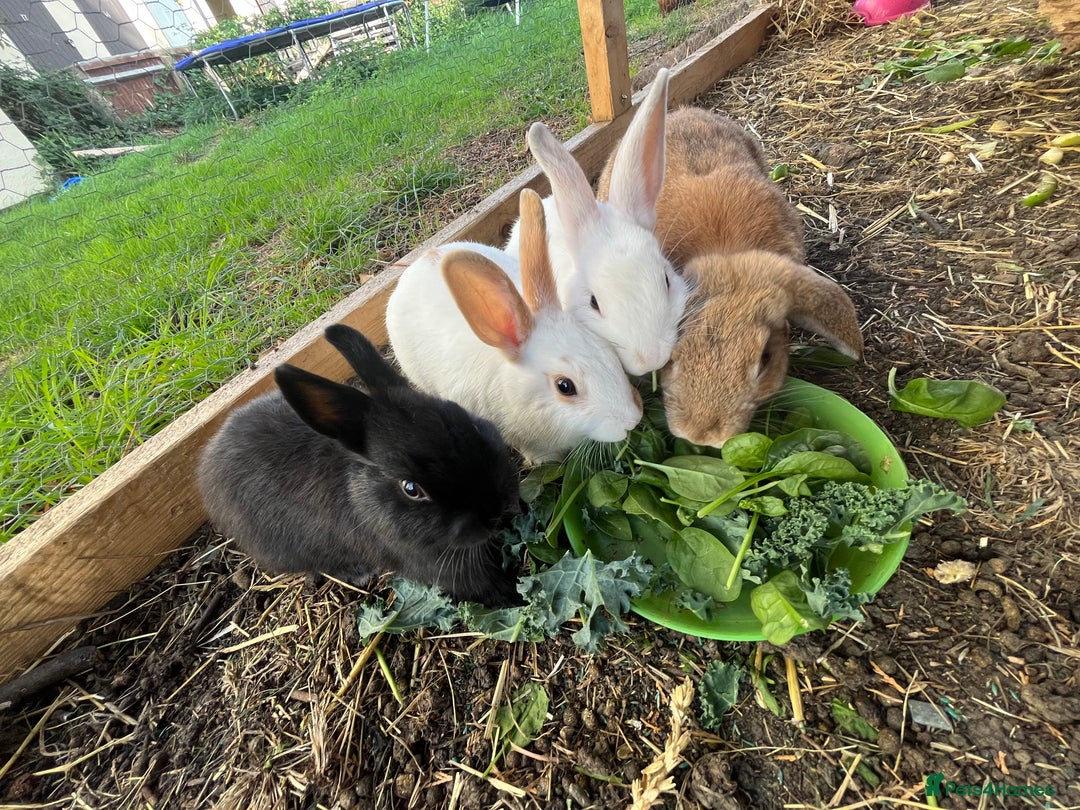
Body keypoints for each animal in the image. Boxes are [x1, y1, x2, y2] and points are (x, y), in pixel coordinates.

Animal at [197, 323, 522, 607]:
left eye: (464, 421)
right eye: (411, 489)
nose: (494, 512)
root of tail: (208, 461)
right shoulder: (430, 561)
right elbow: (476, 583)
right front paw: (511, 595)